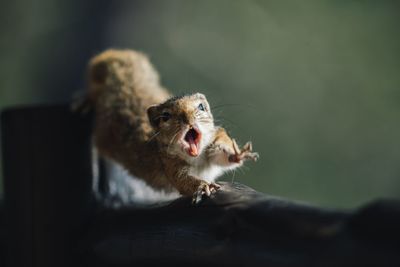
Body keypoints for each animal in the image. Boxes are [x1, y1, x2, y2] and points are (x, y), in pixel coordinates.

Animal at [85, 49, 258, 204]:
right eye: (165, 116)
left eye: (201, 107)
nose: (187, 118)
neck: (197, 157)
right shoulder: (170, 164)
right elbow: (183, 181)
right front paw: (202, 186)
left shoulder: (214, 142)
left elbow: (222, 155)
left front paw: (237, 154)